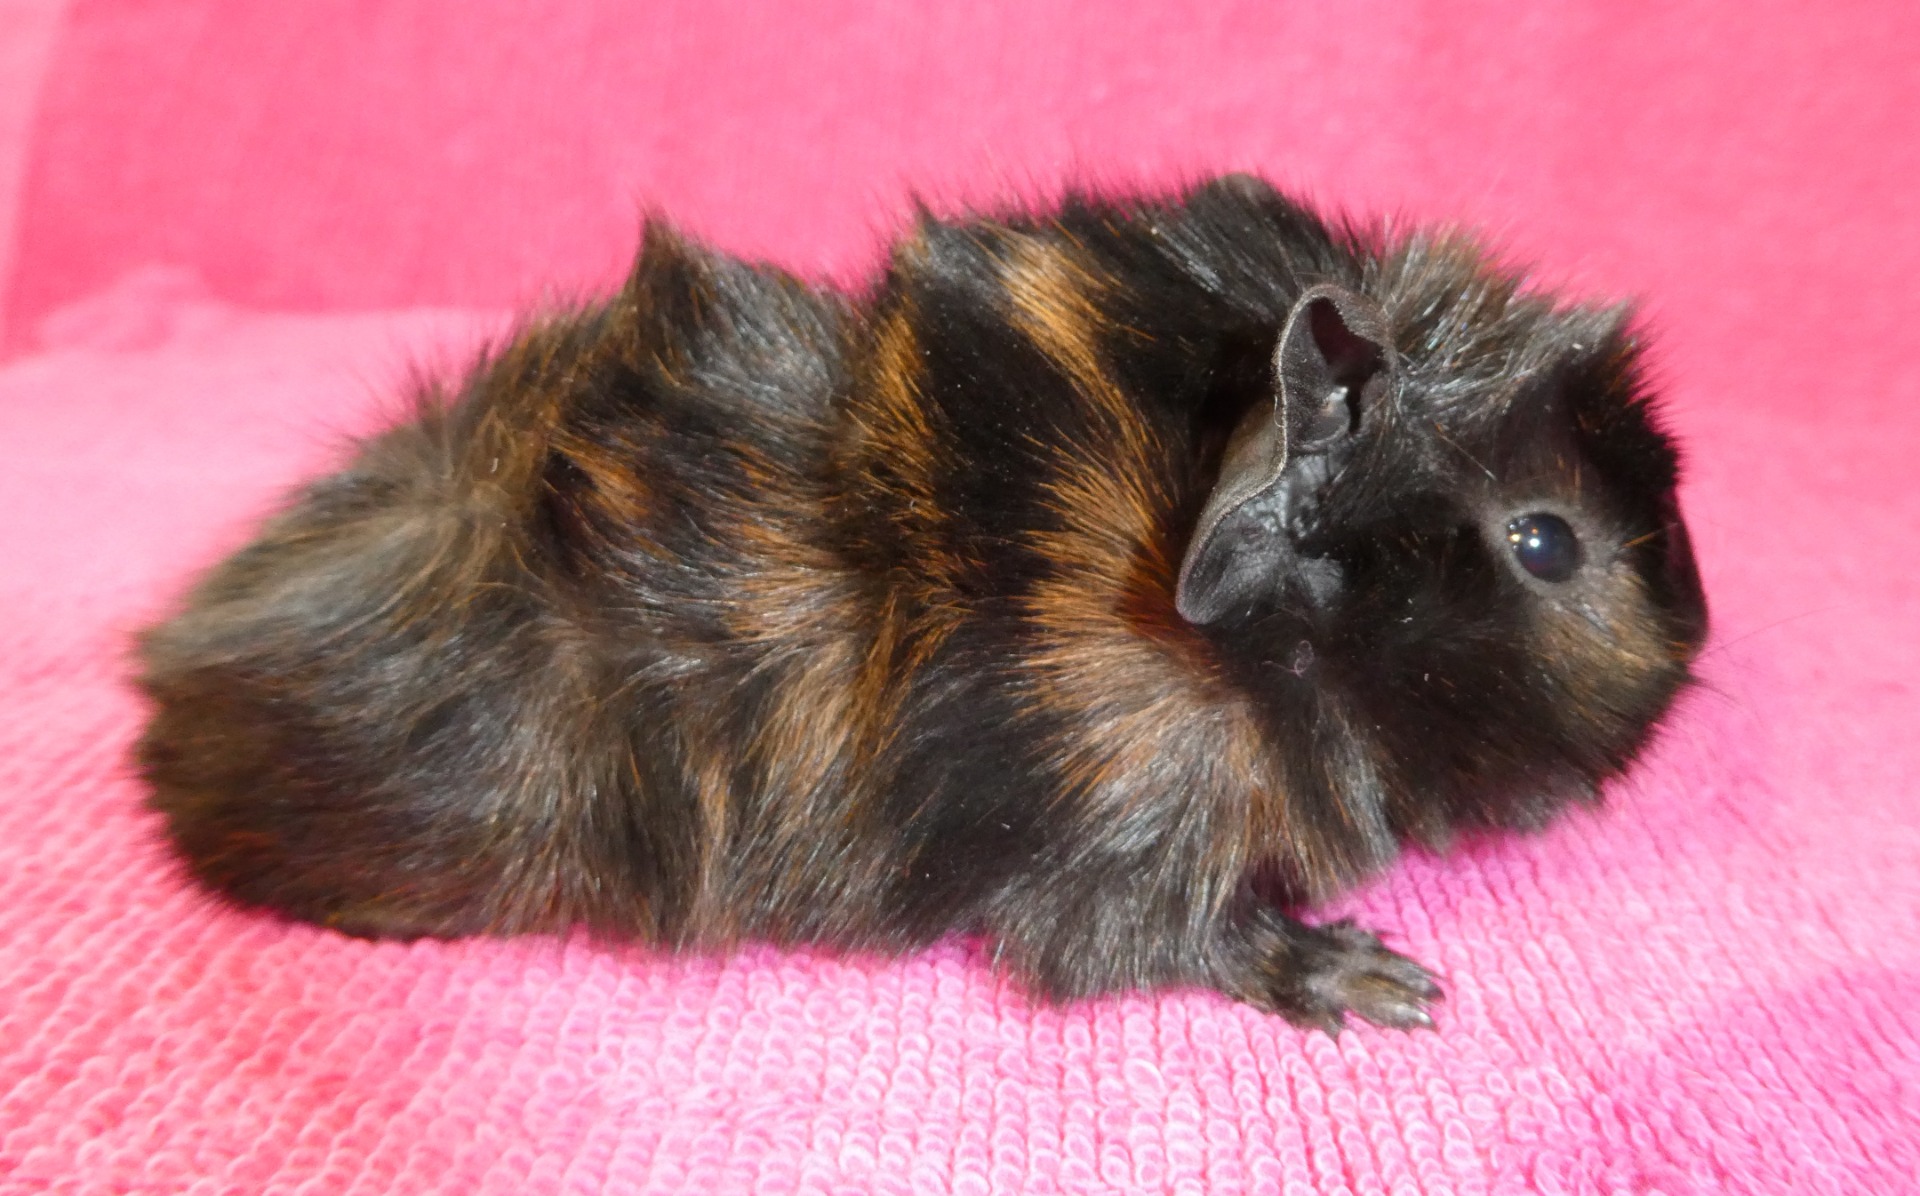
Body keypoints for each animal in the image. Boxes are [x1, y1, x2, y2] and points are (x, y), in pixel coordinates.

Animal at [134, 174, 1707, 1032]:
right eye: (1546, 542)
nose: (1692, 634)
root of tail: (171, 672)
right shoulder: (1125, 846)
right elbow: (1170, 941)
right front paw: (1383, 986)